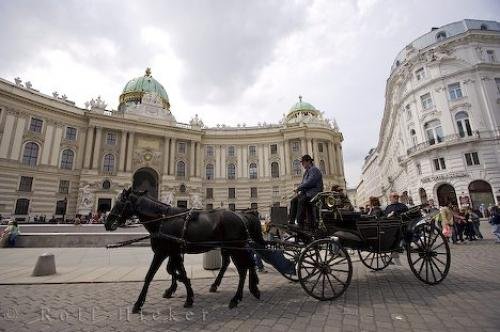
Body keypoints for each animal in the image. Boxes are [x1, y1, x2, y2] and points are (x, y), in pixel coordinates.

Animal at [103, 188, 264, 312]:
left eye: (119, 203)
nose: (107, 223)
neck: (163, 220)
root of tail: (240, 215)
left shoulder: (162, 253)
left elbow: (151, 275)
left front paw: (138, 304)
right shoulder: (173, 252)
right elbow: (175, 271)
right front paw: (178, 291)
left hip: (236, 247)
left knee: (243, 269)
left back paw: (236, 298)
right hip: (232, 247)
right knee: (244, 264)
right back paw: (250, 288)